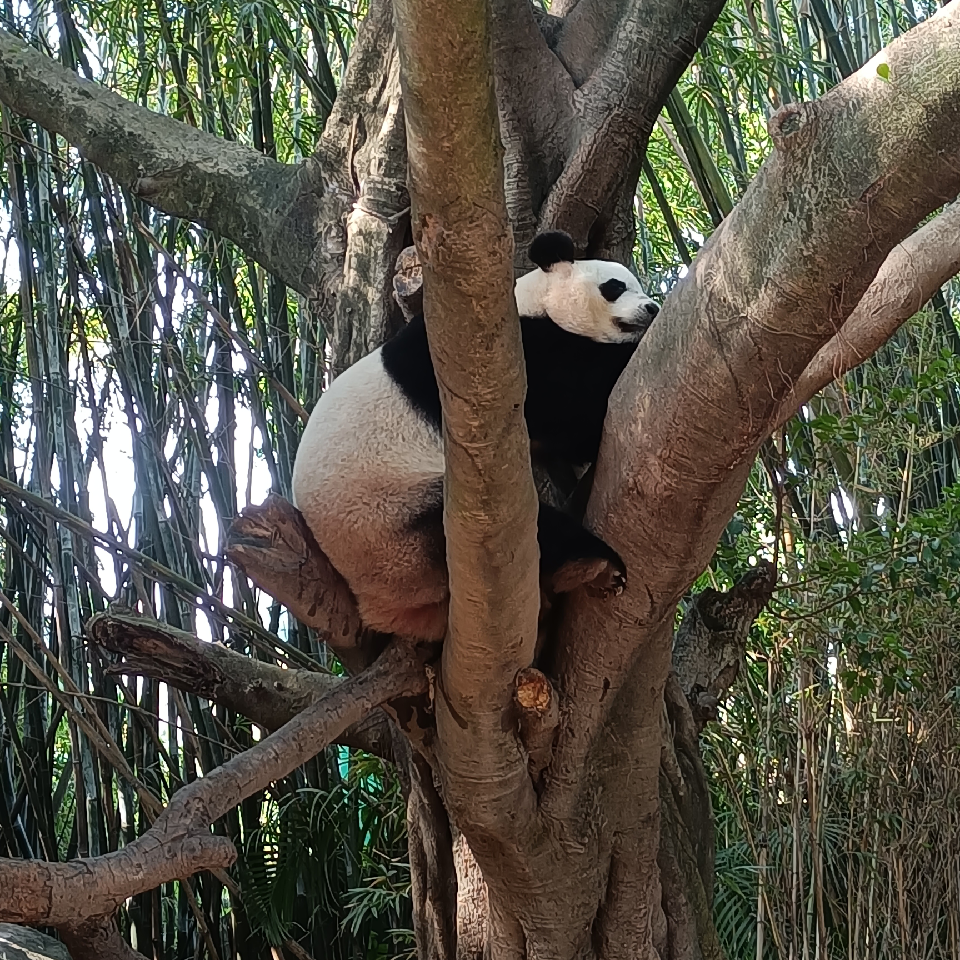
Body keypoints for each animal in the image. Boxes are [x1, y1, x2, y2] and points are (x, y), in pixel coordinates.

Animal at [292, 229, 660, 640]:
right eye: (614, 287)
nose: (652, 308)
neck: (532, 303)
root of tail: (380, 606)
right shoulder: (503, 360)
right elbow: (571, 401)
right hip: (396, 519)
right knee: (517, 530)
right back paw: (591, 565)